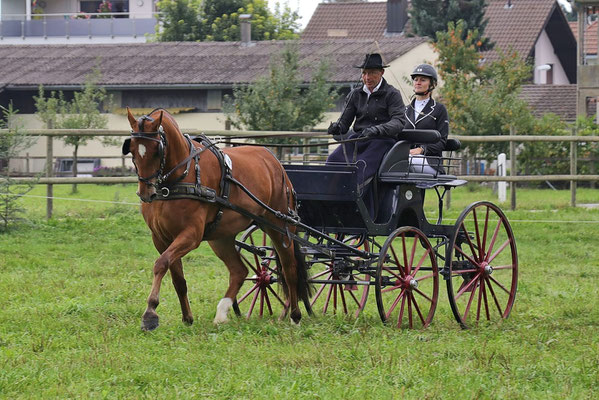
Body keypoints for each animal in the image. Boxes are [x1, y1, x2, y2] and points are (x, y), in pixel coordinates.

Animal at [120, 108, 312, 330]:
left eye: (156, 151)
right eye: (132, 150)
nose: (146, 193)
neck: (181, 176)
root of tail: (275, 163)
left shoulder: (191, 235)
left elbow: (161, 264)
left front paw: (150, 313)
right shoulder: (160, 238)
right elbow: (177, 278)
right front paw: (187, 318)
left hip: (279, 225)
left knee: (289, 269)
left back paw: (295, 315)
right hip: (221, 237)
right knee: (239, 271)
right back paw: (222, 312)